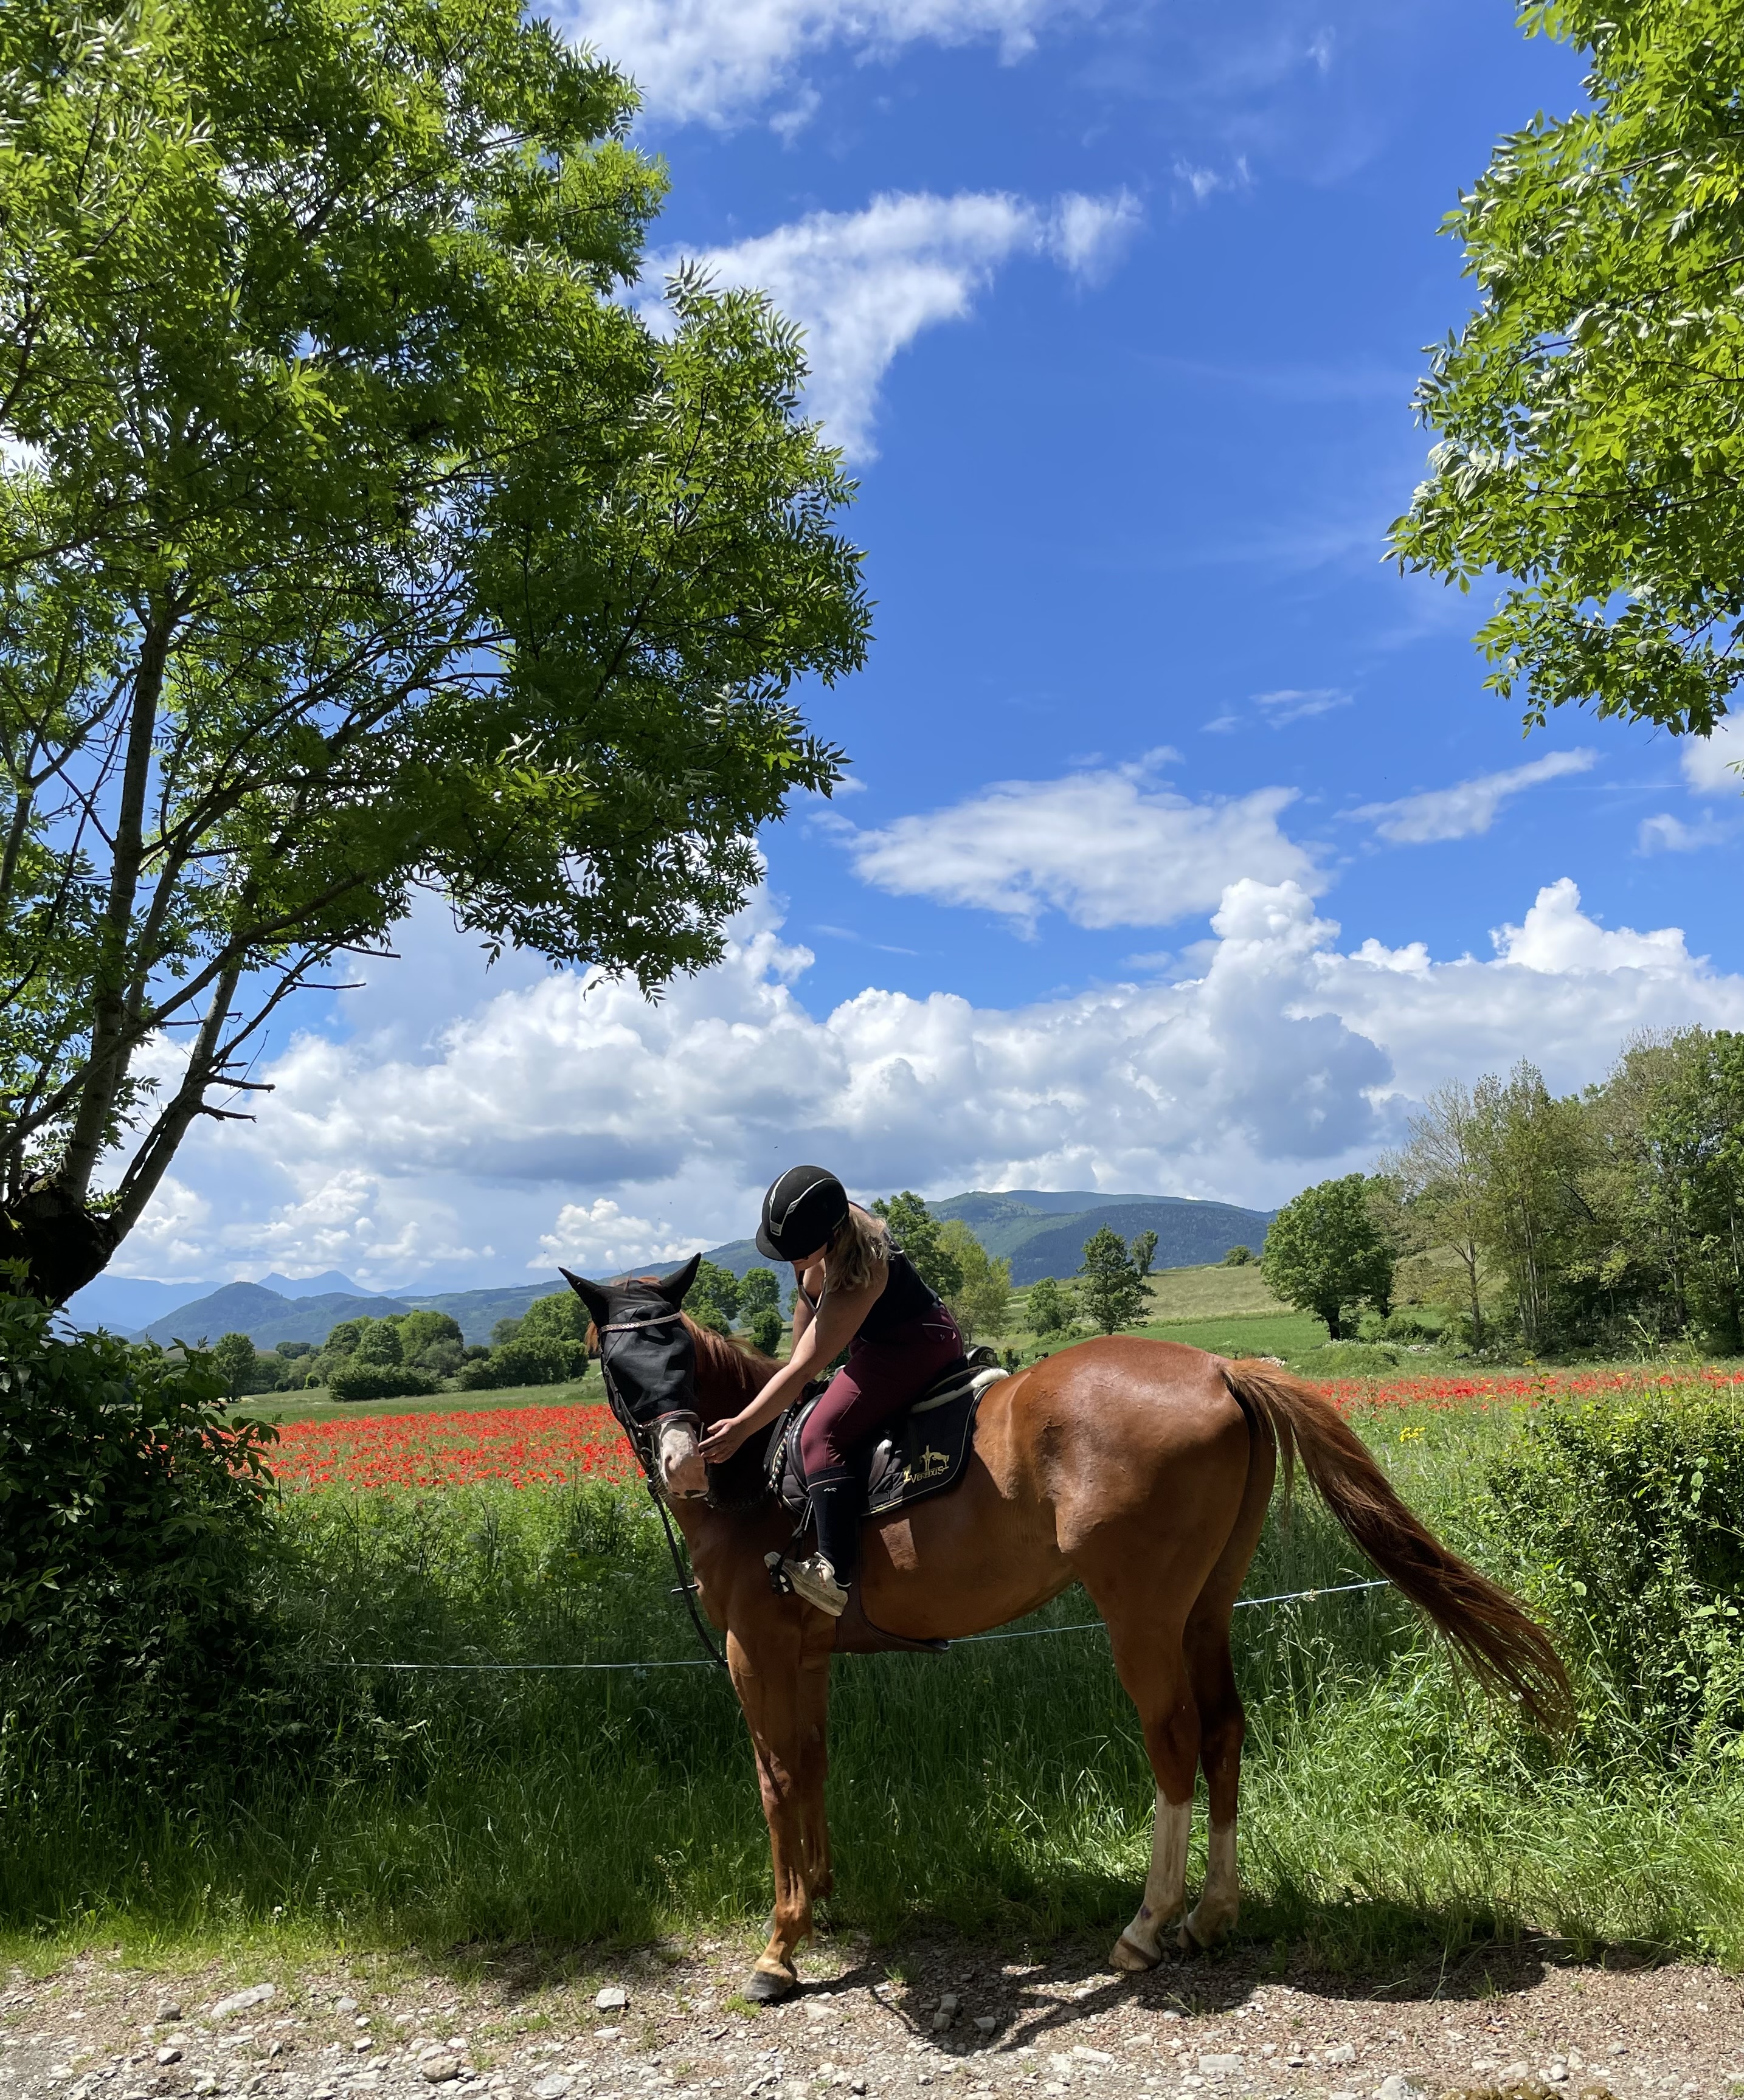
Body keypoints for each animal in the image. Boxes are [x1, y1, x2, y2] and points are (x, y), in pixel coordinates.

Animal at [565, 1255, 1567, 2004]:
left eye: (677, 1354)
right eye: (621, 1362)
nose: (685, 1461)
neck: (756, 1477)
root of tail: (1221, 1369)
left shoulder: (757, 1651)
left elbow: (775, 1780)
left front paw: (781, 1945)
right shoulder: (807, 1655)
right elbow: (810, 1767)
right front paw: (825, 1899)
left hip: (1142, 1614)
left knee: (1174, 1740)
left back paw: (1147, 1925)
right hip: (1205, 1608)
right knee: (1226, 1729)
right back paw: (1212, 1914)